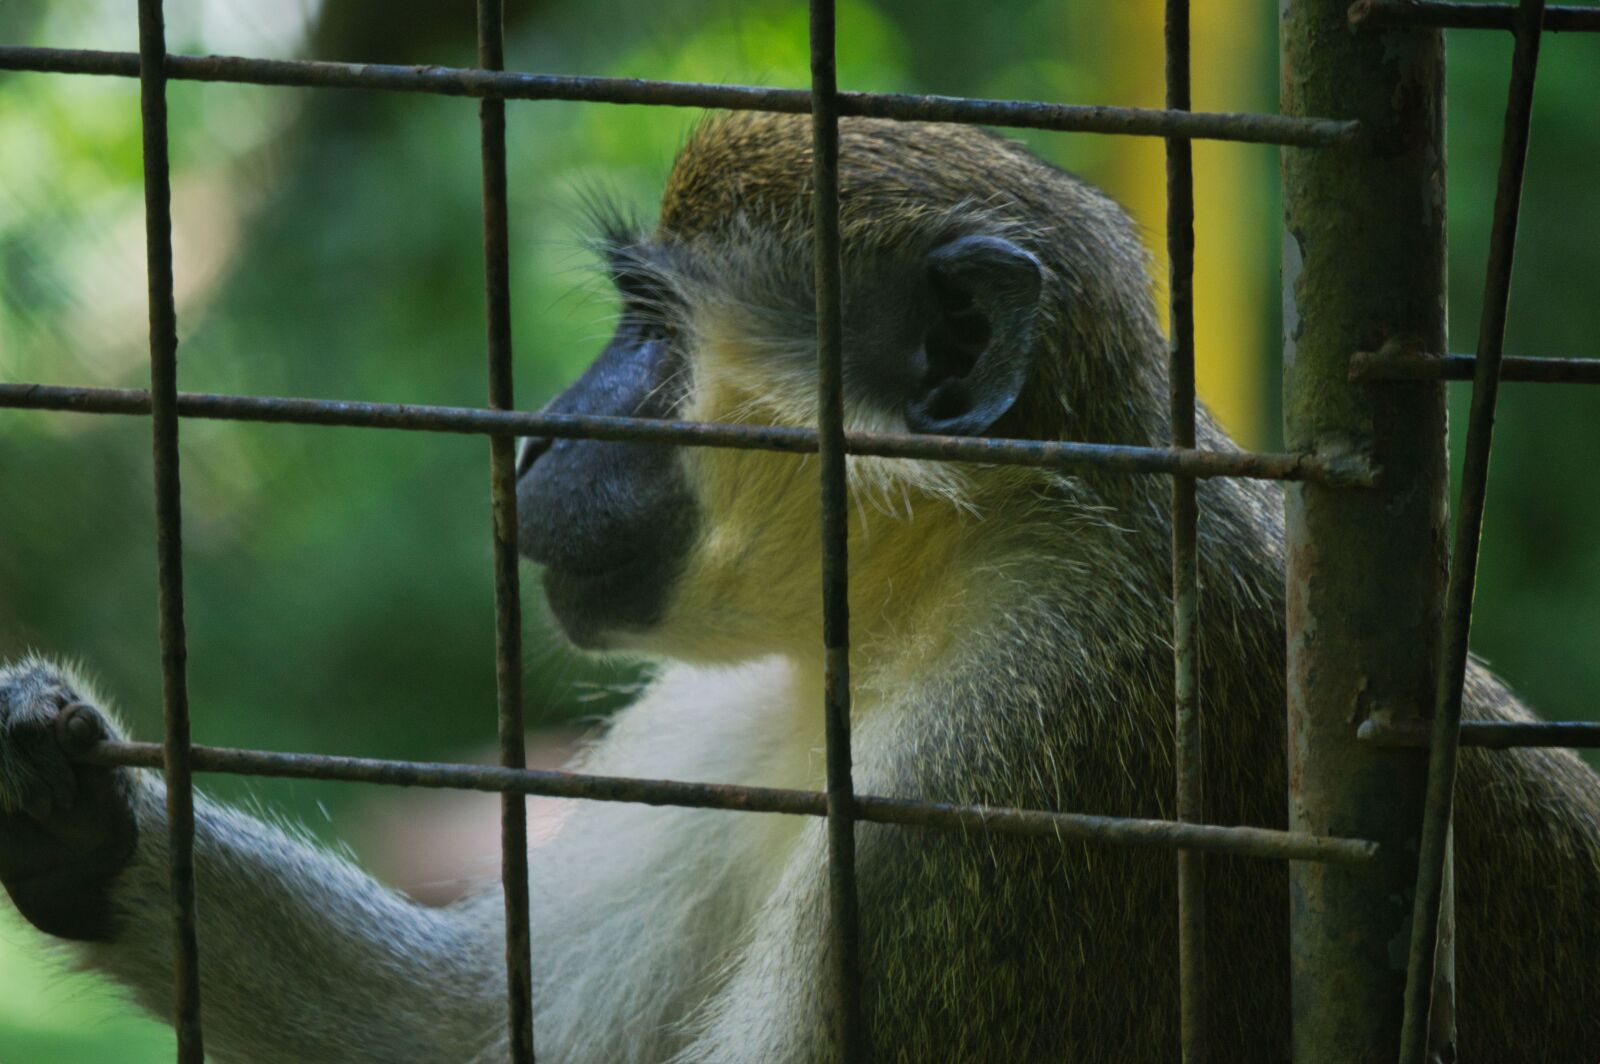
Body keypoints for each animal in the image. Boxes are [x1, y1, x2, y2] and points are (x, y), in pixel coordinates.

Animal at [2, 112, 1598, 1063]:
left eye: (653, 329)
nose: (538, 435)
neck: (930, 597)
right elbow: (476, 1028)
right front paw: (59, 795)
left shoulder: (1000, 785)